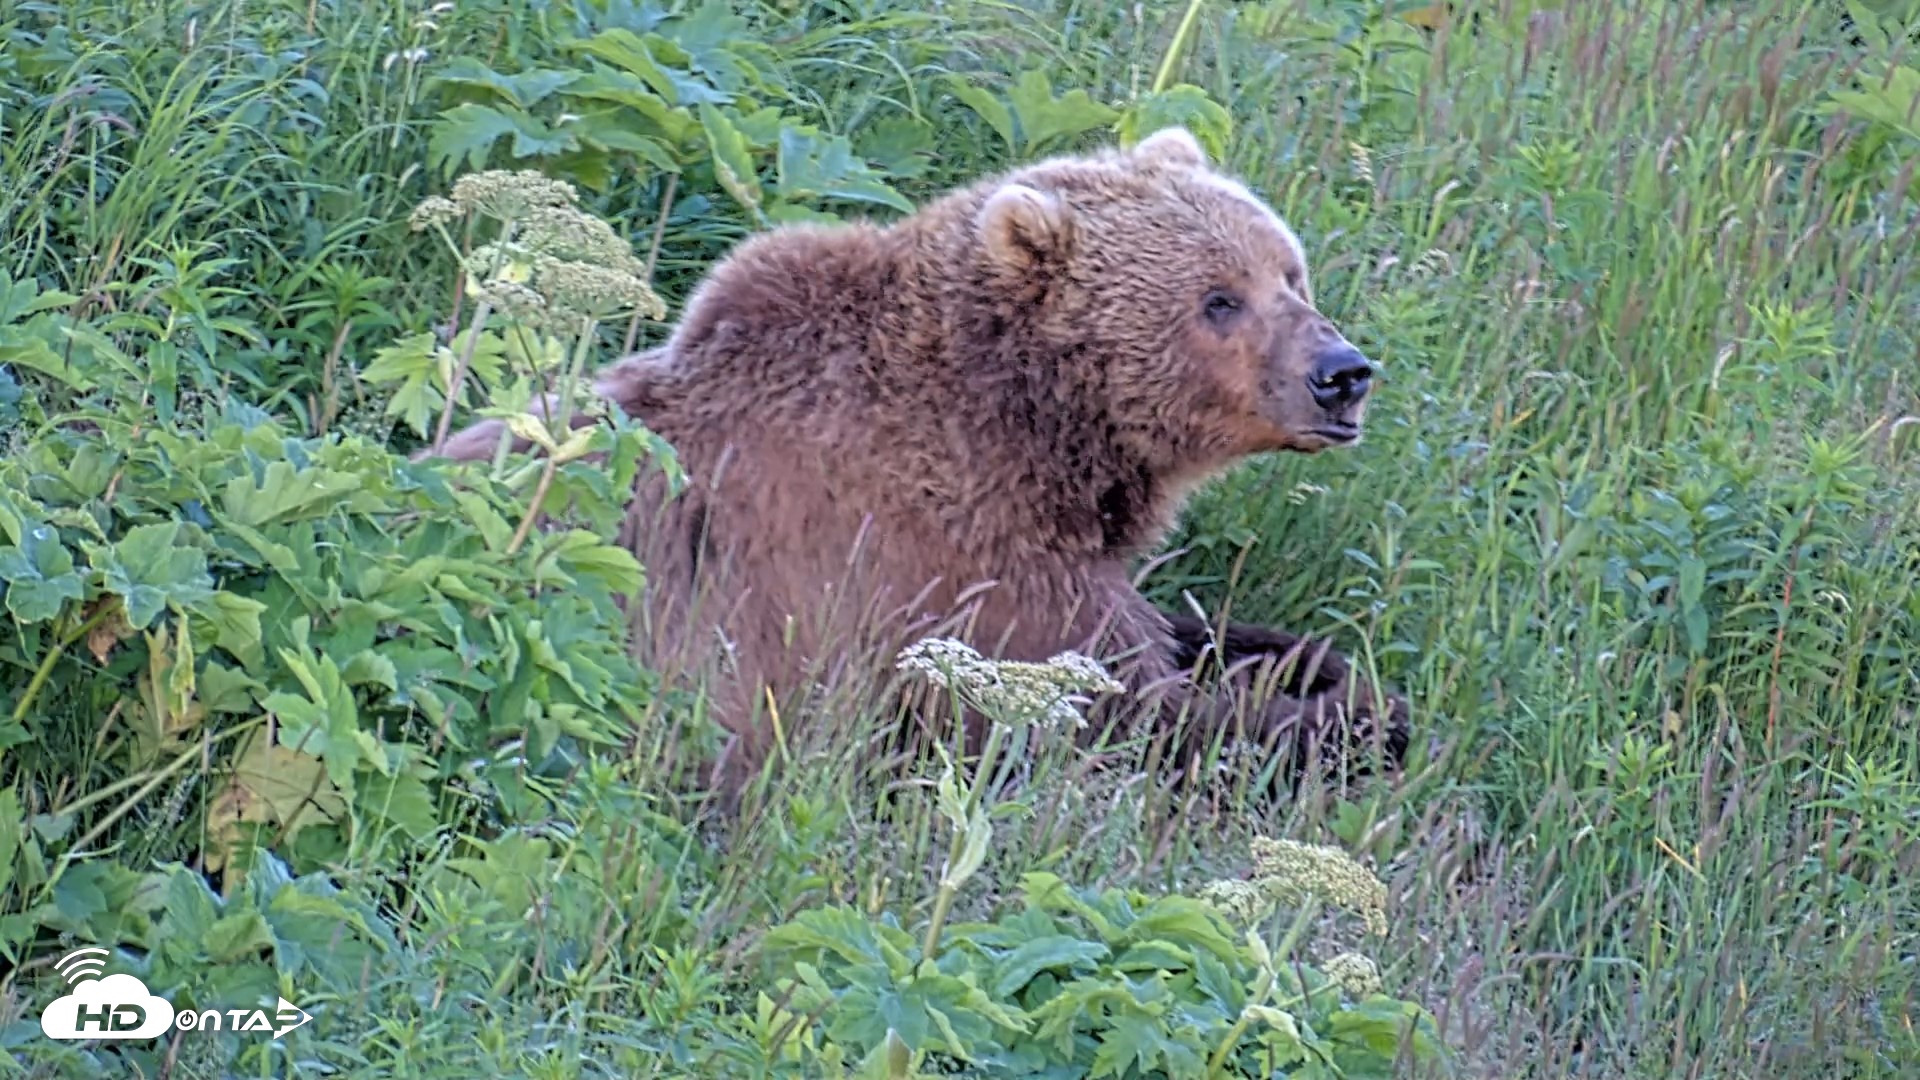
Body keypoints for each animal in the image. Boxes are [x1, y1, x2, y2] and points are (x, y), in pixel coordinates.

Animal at [424, 125, 1410, 799]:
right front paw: (1350, 717)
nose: (1343, 374)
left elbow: (1172, 634)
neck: (1029, 430)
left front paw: (1308, 661)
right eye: (1218, 299)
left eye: (1291, 273)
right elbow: (1118, 710)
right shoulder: (942, 565)